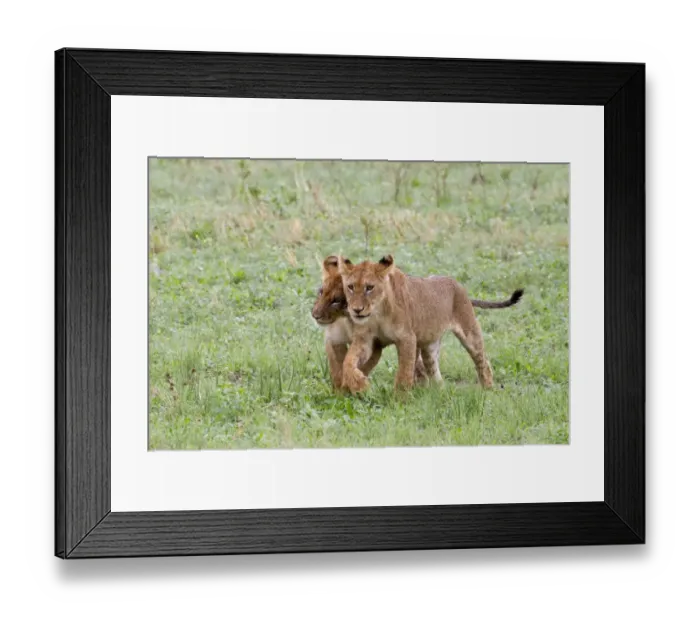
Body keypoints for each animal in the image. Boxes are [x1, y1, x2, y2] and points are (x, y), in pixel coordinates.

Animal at [311, 256, 429, 389]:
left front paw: (357, 384)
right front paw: (342, 389)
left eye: (336, 301)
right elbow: (337, 368)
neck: (345, 320)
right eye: (321, 292)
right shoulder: (334, 340)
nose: (315, 315)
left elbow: (355, 365)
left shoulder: (372, 343)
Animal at [337, 254, 523, 393]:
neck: (378, 312)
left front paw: (399, 401)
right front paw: (358, 383)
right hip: (429, 347)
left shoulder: (407, 338)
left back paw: (488, 390)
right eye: (350, 287)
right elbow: (347, 361)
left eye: (369, 287)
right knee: (436, 373)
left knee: (483, 361)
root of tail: (458, 285)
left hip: (470, 332)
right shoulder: (365, 339)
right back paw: (441, 394)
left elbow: (404, 373)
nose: (356, 310)